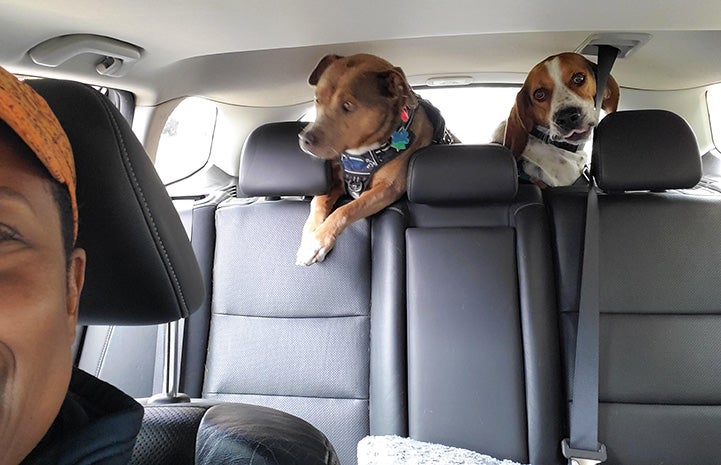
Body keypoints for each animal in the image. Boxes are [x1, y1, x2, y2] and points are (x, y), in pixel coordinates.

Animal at [296, 53, 452, 264]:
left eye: (348, 105)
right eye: (317, 99)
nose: (304, 139)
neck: (363, 152)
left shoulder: (387, 189)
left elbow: (346, 210)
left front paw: (317, 241)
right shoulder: (337, 181)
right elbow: (318, 201)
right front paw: (310, 232)